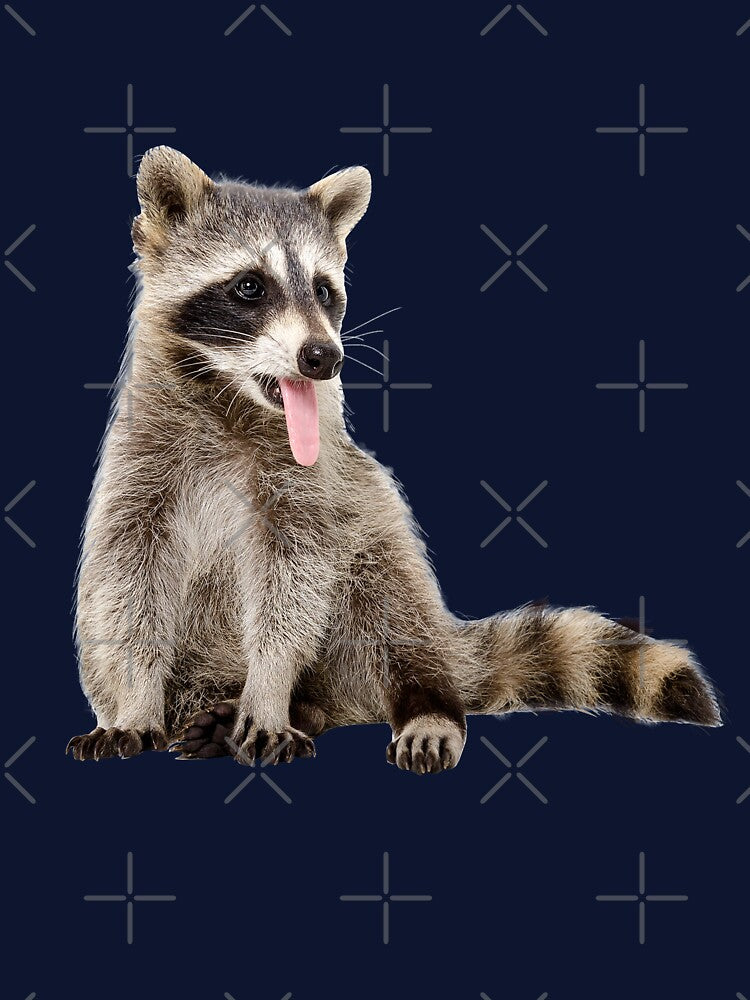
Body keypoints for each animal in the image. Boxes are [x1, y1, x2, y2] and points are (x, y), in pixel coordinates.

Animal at [67, 147, 721, 772]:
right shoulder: (140, 467)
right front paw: (138, 701)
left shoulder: (312, 485)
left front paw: (270, 693)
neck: (231, 403)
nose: (323, 357)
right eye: (250, 286)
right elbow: (127, 585)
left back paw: (402, 704)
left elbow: (292, 588)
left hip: (375, 541)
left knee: (388, 610)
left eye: (324, 290)